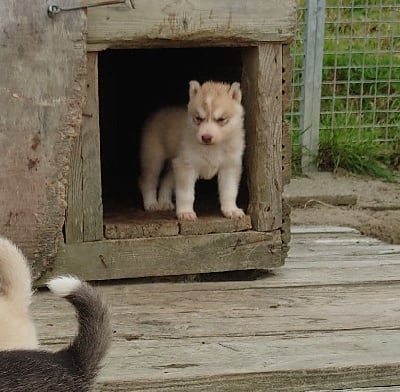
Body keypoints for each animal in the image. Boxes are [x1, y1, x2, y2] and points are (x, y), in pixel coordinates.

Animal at [139, 80, 245, 220]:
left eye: (221, 119)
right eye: (198, 118)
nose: (206, 137)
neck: (213, 148)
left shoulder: (230, 166)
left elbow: (229, 191)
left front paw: (231, 209)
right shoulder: (186, 165)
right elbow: (185, 193)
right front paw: (185, 212)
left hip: (174, 163)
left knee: (165, 180)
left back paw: (164, 202)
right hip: (153, 159)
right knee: (147, 181)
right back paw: (151, 203)